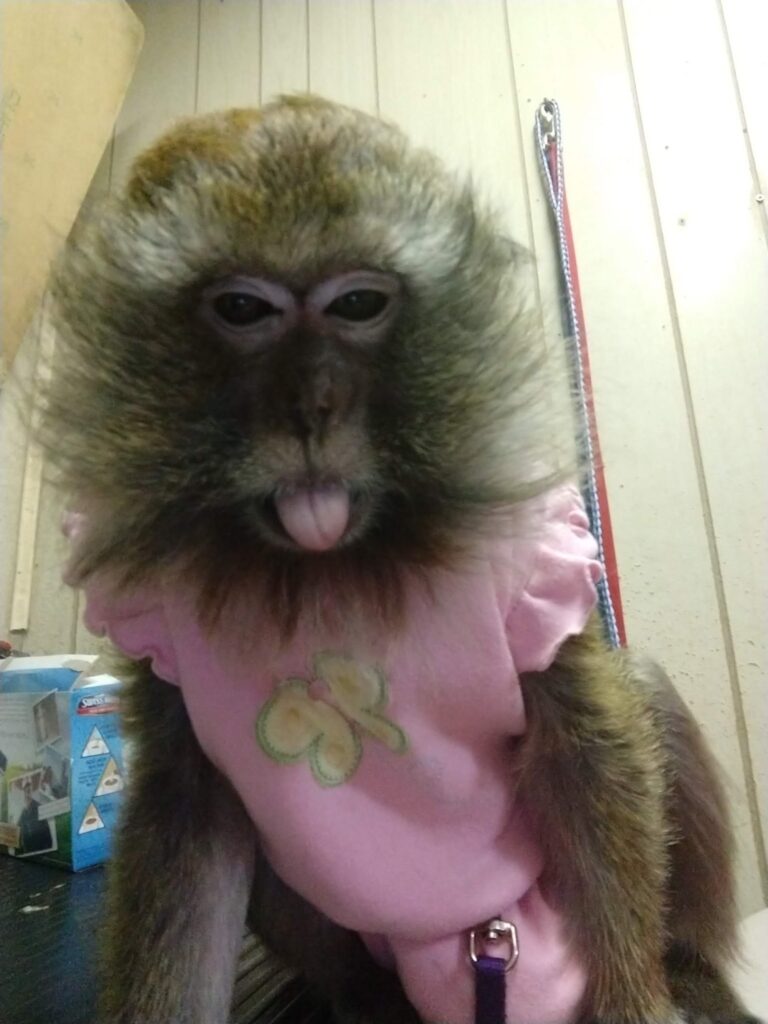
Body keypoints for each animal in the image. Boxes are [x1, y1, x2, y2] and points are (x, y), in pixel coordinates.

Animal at [39, 95, 761, 1024]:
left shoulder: (533, 567)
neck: (334, 565)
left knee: (642, 689)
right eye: (242, 308)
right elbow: (189, 813)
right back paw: (366, 1001)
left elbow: (585, 740)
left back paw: (688, 967)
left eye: (357, 303)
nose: (312, 405)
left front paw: (635, 1000)